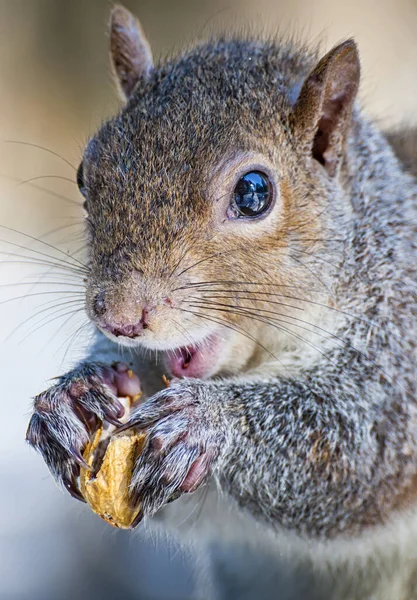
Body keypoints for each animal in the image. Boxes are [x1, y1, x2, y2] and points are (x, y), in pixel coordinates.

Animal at [23, 3, 417, 596]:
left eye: (254, 192)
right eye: (84, 174)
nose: (120, 319)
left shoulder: (400, 351)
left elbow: (355, 447)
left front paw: (208, 420)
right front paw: (75, 394)